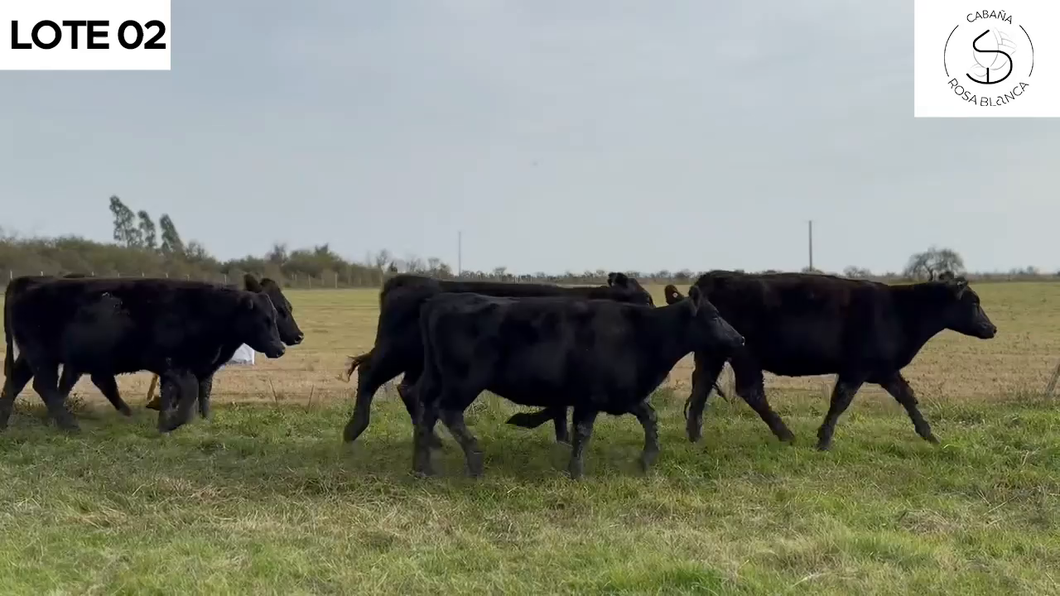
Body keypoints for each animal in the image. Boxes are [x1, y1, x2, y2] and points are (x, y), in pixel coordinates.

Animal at [1, 275, 286, 428]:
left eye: (275, 316)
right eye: (264, 320)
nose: (280, 347)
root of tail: (28, 284)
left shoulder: (179, 368)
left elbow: (174, 395)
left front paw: (166, 422)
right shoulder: (173, 363)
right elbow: (189, 391)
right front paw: (172, 423)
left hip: (31, 356)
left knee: (17, 383)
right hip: (42, 355)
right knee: (45, 386)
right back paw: (70, 426)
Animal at [339, 270, 652, 445]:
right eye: (647, 299)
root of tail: (405, 280)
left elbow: (559, 406)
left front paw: (559, 437)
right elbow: (558, 405)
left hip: (417, 362)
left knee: (408, 389)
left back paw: (434, 439)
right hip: (396, 351)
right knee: (369, 374)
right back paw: (354, 429)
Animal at [407, 284, 746, 477]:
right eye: (715, 316)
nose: (740, 339)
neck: (642, 334)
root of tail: (438, 301)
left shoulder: (625, 394)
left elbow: (650, 418)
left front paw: (646, 460)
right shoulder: (590, 397)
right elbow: (582, 432)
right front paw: (577, 471)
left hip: (437, 378)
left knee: (426, 412)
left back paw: (422, 468)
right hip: (464, 381)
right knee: (448, 412)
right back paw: (475, 462)